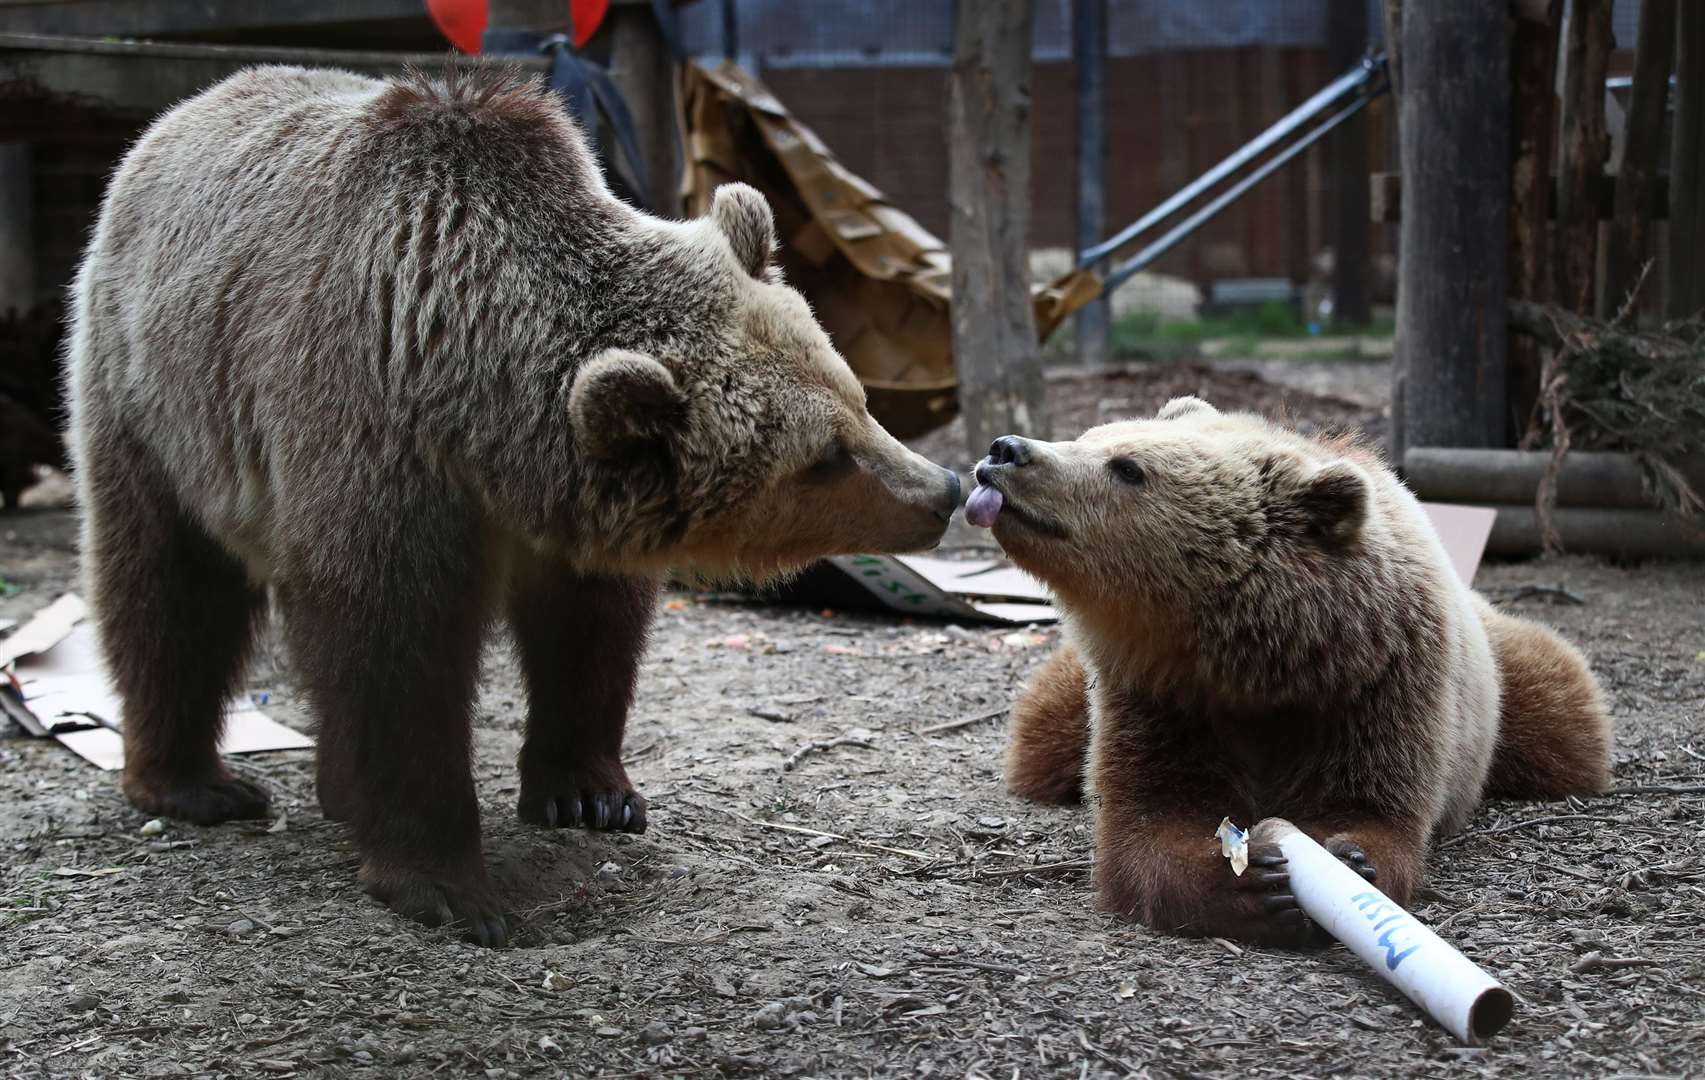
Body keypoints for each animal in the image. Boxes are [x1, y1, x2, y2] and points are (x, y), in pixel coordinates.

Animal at [66, 65, 968, 941]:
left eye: (857, 399)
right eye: (824, 458)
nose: (943, 490)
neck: (480, 423)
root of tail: (179, 113)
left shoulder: (570, 517)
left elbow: (587, 634)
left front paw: (589, 793)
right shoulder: (373, 440)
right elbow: (395, 657)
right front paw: (449, 884)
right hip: (156, 401)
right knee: (169, 590)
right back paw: (194, 783)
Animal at [968, 395, 1602, 941]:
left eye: (1128, 468)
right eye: (1089, 437)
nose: (1005, 450)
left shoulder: (1383, 684)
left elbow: (1376, 807)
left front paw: (1348, 857)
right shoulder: (1159, 696)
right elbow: (1151, 818)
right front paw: (1251, 880)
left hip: (1513, 684)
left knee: (1562, 716)